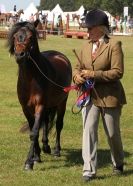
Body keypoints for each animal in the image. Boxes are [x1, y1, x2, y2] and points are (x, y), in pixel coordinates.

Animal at [7, 20, 71, 170]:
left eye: (31, 37)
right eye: (15, 37)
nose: (20, 55)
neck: (31, 79)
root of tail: (60, 56)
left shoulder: (40, 105)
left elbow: (34, 132)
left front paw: (28, 162)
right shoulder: (26, 108)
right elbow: (33, 130)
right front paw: (36, 157)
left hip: (62, 102)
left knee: (58, 124)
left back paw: (56, 150)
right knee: (46, 122)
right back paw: (46, 146)